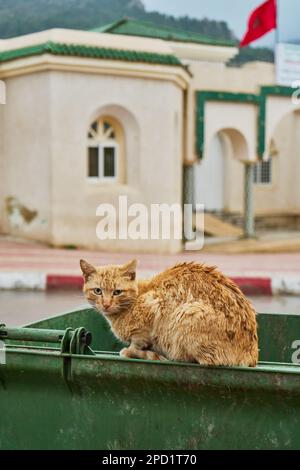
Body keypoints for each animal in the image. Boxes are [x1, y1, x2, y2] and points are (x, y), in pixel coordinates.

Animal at [79, 260, 258, 368]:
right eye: (97, 291)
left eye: (117, 292)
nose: (106, 304)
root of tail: (252, 356)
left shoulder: (154, 304)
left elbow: (138, 342)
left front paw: (130, 351)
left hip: (188, 313)